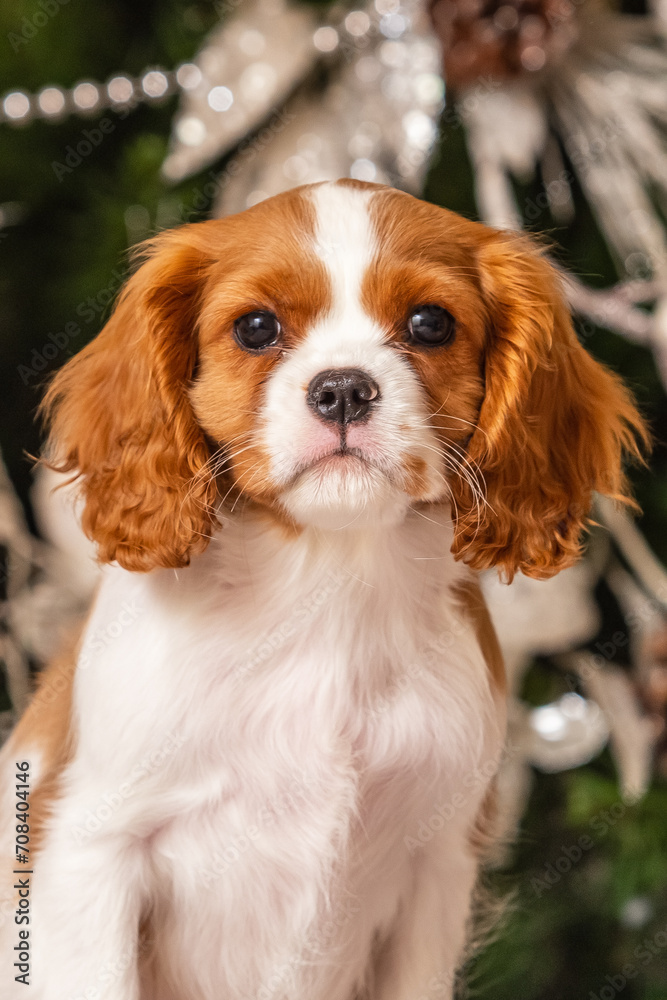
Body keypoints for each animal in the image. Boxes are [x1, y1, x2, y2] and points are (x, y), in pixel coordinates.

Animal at [0, 182, 648, 1000]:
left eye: (430, 324)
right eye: (256, 328)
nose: (342, 389)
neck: (328, 578)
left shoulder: (435, 869)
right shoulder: (92, 848)